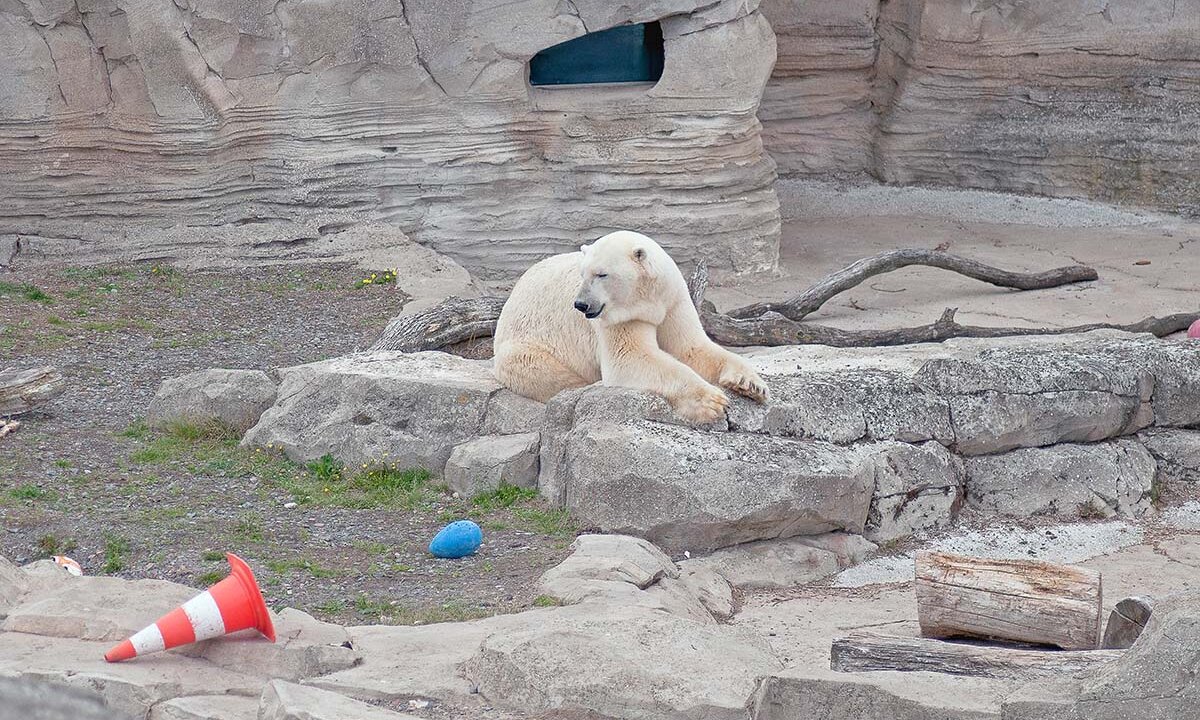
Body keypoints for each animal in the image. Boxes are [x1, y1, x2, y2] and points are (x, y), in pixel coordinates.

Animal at [494, 230, 768, 422]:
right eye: (583, 274)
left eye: (601, 274)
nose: (581, 304)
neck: (648, 300)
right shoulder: (620, 318)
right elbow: (630, 357)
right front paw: (712, 401)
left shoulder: (673, 300)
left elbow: (691, 347)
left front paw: (751, 384)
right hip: (524, 343)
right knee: (541, 369)